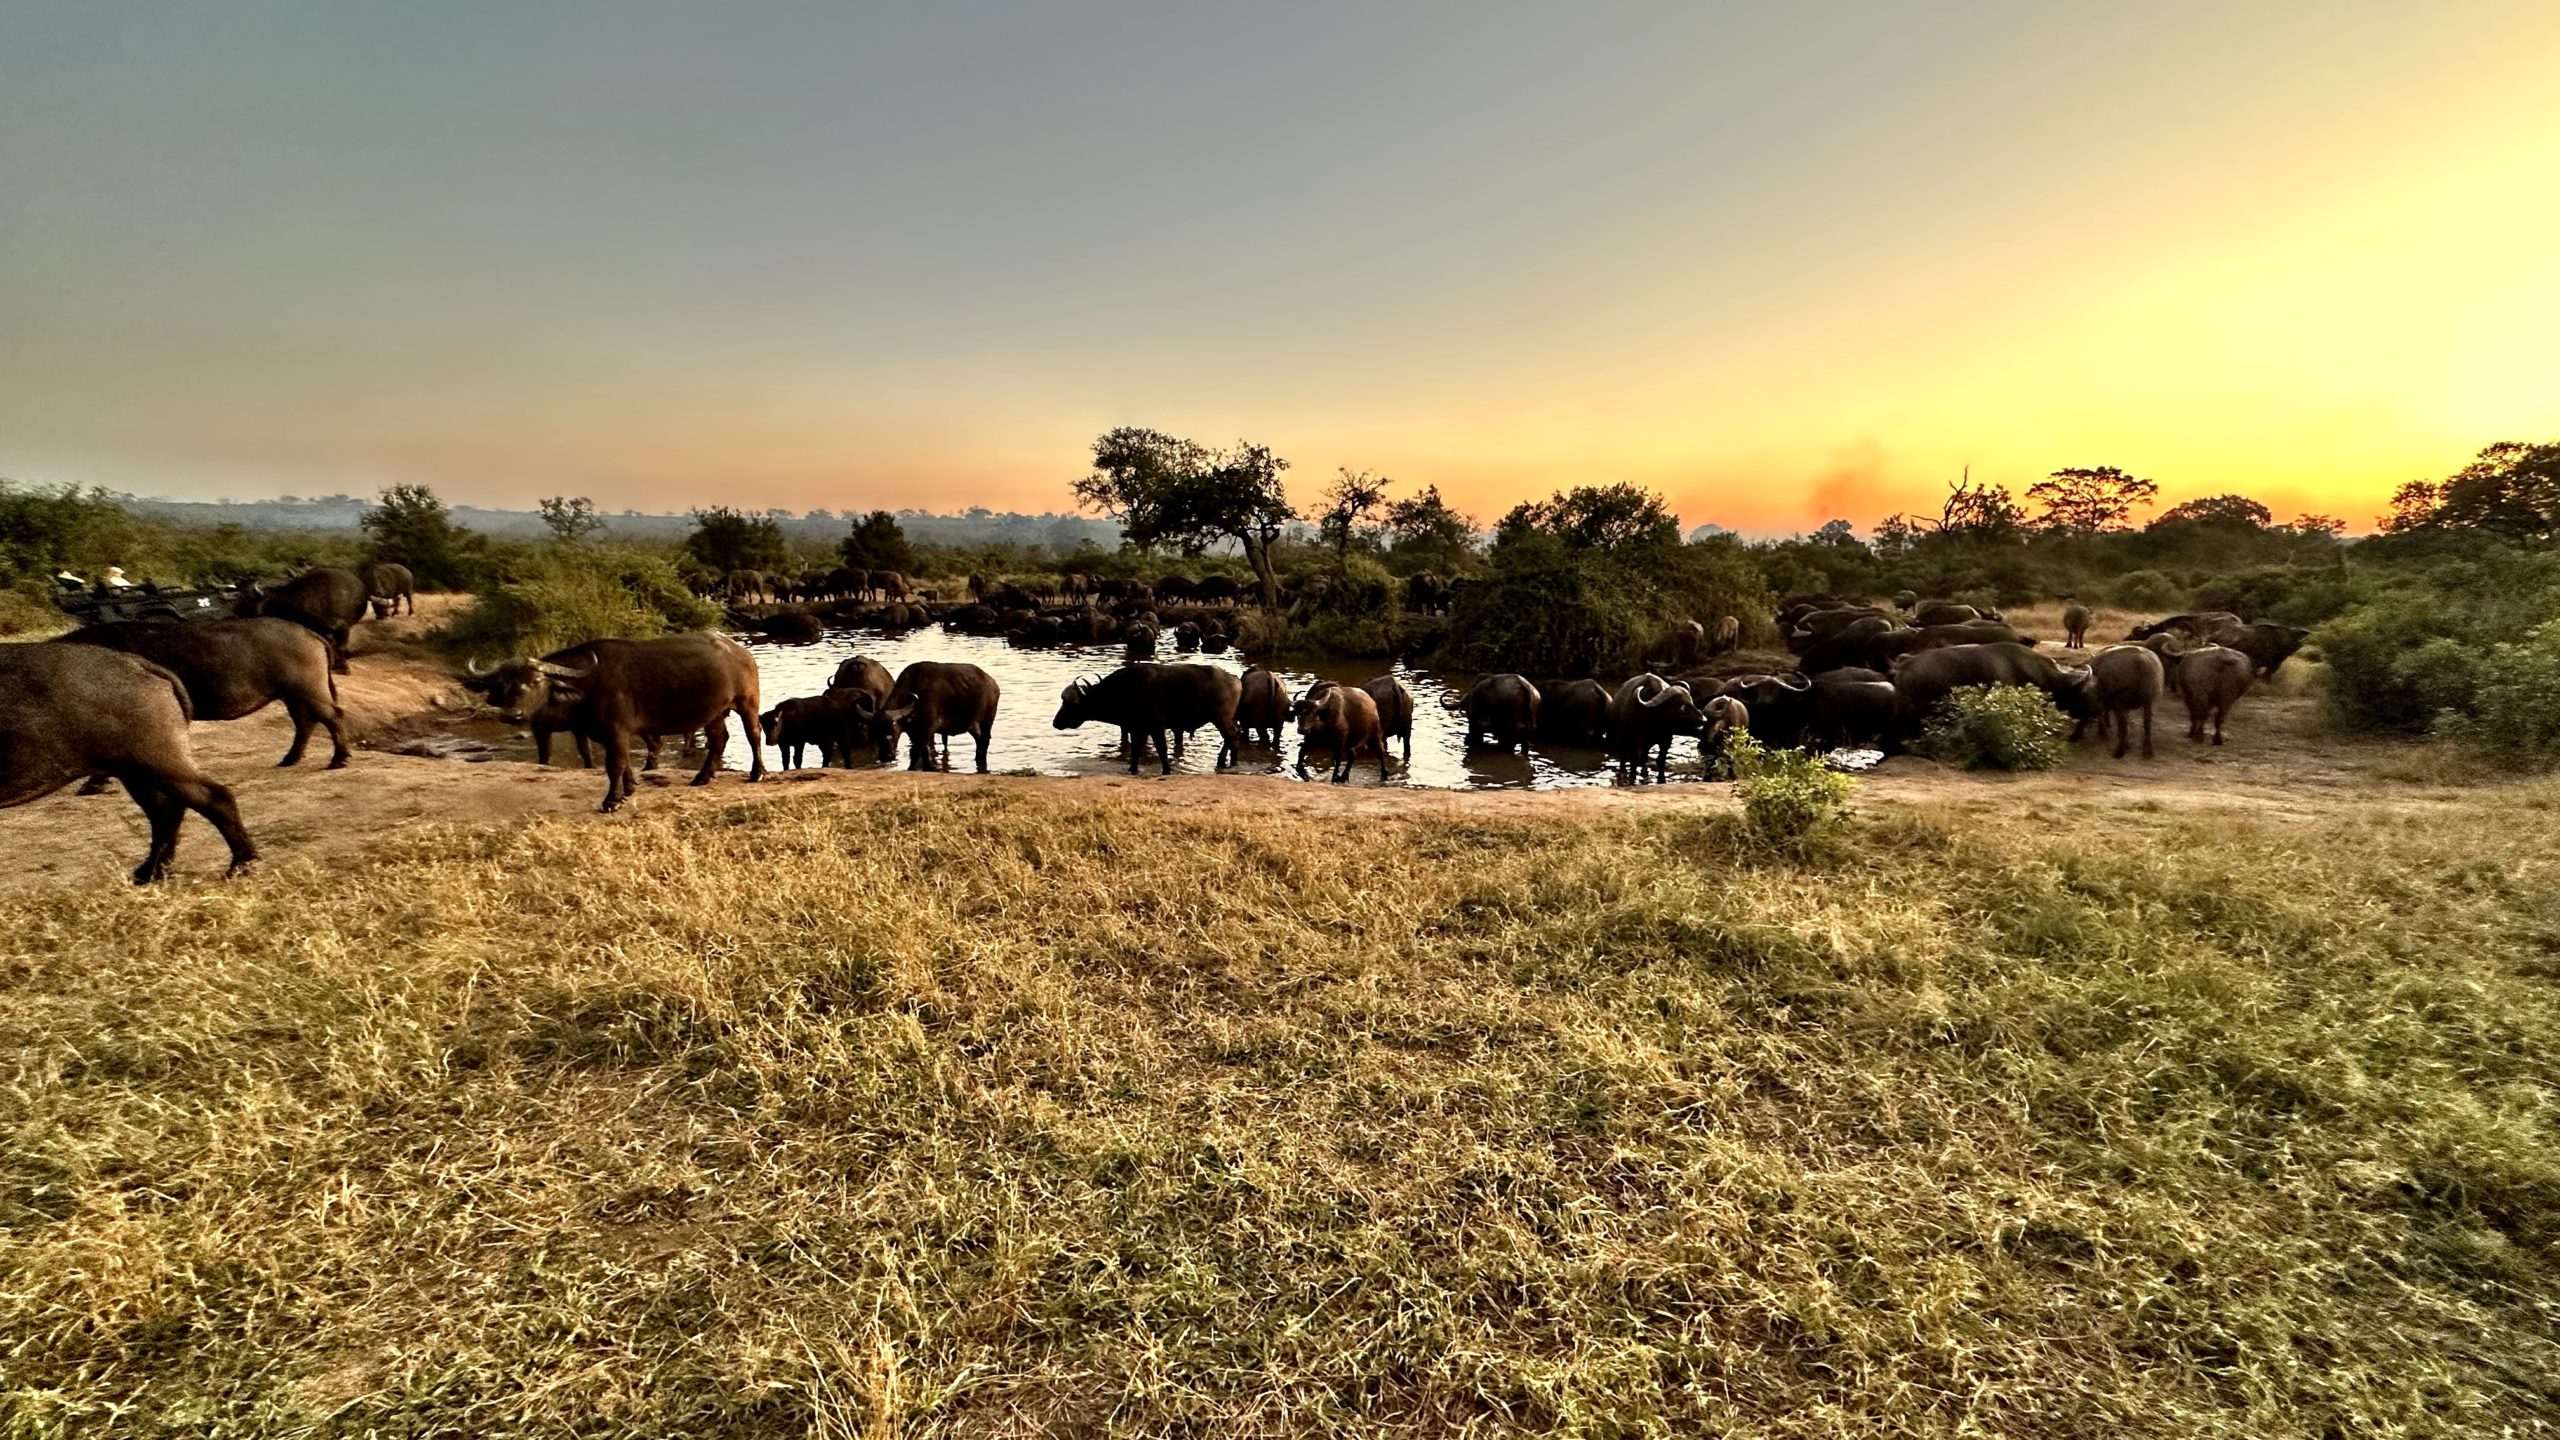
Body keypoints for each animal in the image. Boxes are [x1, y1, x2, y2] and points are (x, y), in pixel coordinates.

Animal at [1, 645, 256, 881]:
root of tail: (137, 664)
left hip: (157, 763)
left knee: (215, 799)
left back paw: (240, 865)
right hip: (136, 773)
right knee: (165, 813)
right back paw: (150, 872)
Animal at [465, 630, 757, 809]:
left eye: (536, 681)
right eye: (502, 684)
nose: (511, 715)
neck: (588, 684)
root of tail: (739, 652)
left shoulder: (617, 730)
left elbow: (613, 765)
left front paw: (611, 801)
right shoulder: (604, 734)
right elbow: (624, 763)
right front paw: (629, 789)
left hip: (747, 702)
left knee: (753, 735)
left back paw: (756, 773)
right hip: (715, 712)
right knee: (719, 739)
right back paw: (702, 777)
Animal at [1044, 661, 1233, 773]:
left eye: (1069, 704)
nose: (1055, 722)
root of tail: (1233, 679)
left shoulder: (1155, 727)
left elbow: (1162, 749)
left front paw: (1166, 770)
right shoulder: (1136, 728)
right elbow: (1135, 750)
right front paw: (1132, 769)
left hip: (1221, 719)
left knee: (1231, 738)